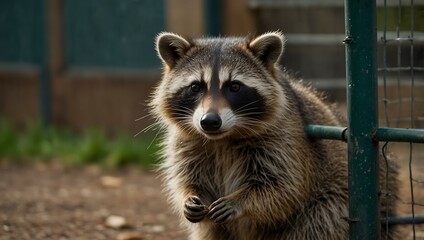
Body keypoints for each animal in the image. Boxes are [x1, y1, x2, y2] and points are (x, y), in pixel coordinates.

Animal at [150, 32, 398, 240]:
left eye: (234, 87)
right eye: (195, 87)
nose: (209, 121)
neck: (221, 139)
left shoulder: (285, 138)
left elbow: (286, 188)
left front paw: (241, 201)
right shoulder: (185, 142)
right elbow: (187, 179)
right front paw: (189, 196)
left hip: (331, 205)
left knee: (317, 225)